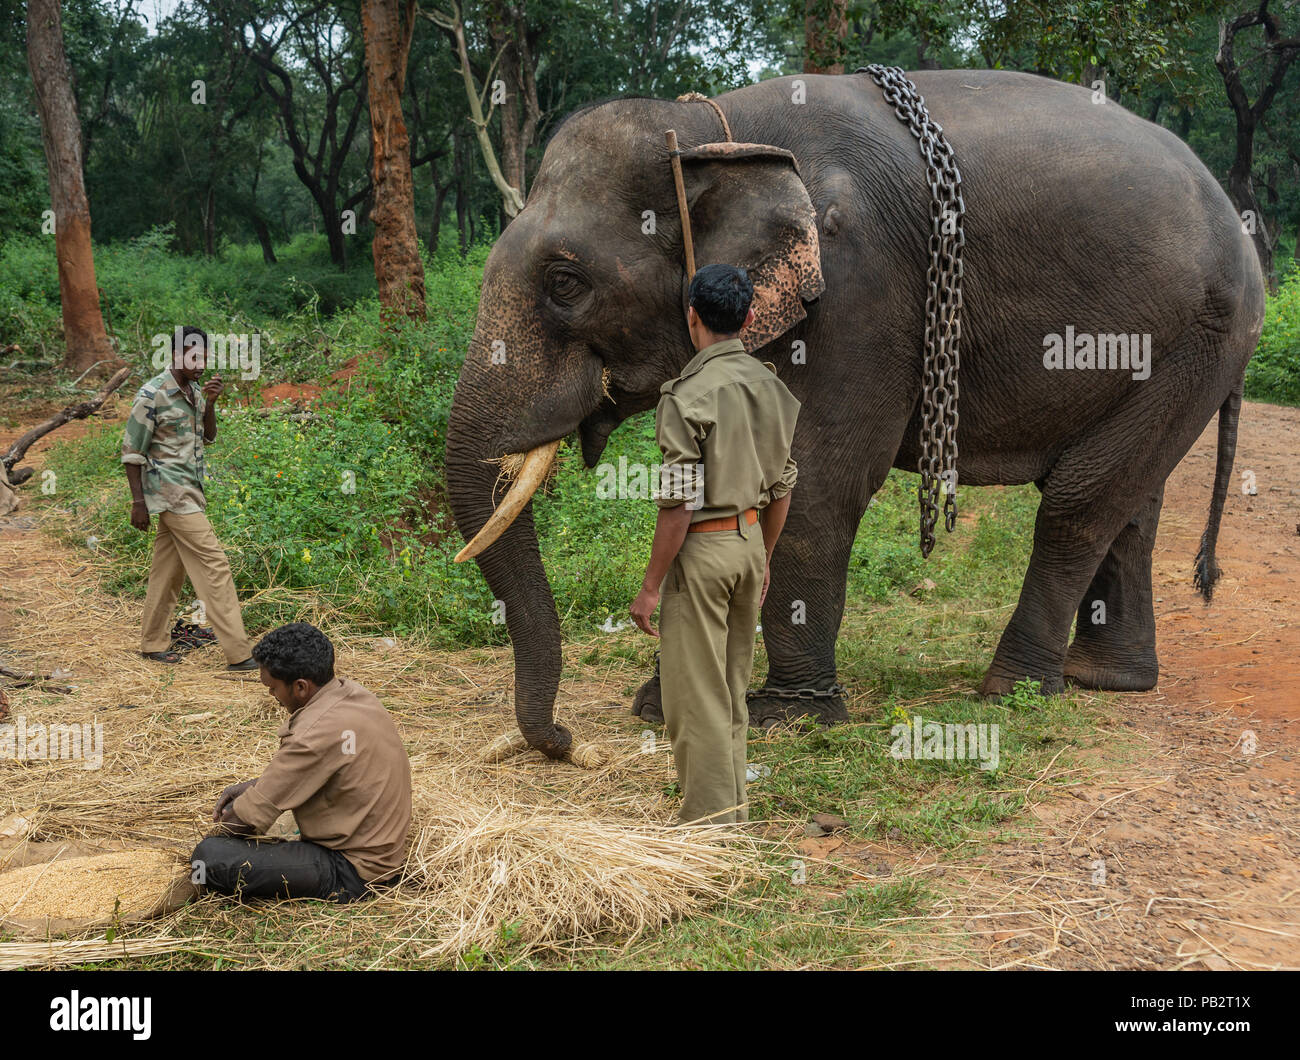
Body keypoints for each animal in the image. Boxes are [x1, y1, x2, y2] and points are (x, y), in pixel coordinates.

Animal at [447, 68, 1268, 764]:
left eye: (565, 283)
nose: (563, 742)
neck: (717, 133)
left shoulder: (858, 289)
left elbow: (813, 486)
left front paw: (788, 719)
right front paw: (661, 702)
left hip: (1206, 334)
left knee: (1078, 504)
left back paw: (1013, 693)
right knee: (1130, 502)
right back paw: (1106, 681)